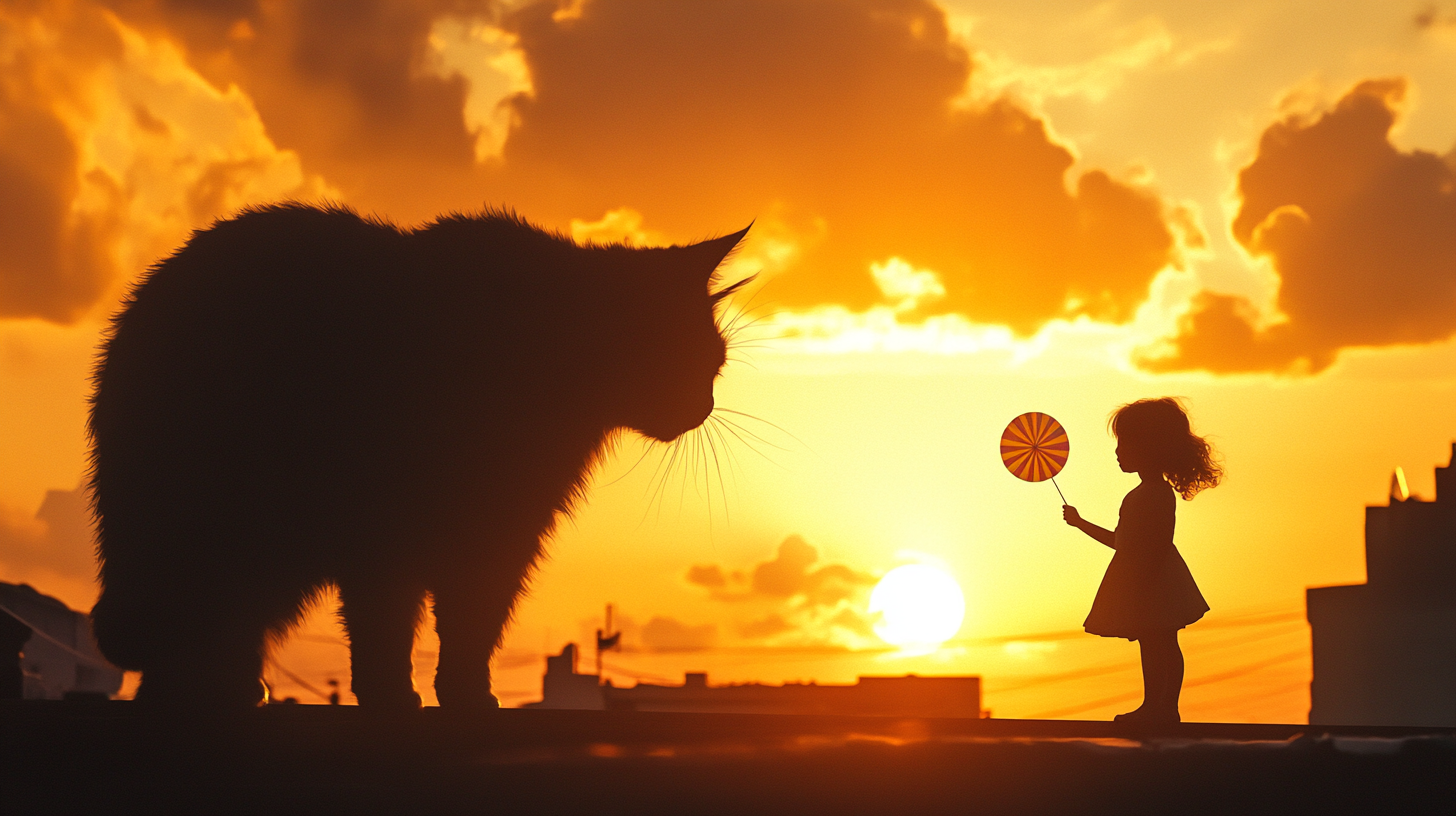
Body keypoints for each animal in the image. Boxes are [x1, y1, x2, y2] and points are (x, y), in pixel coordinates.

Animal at [88, 204, 751, 708]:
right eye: (683, 357)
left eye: (714, 362)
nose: (704, 407)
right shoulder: (383, 528)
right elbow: (385, 622)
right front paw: (390, 695)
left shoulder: (504, 530)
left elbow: (474, 619)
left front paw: (465, 695)